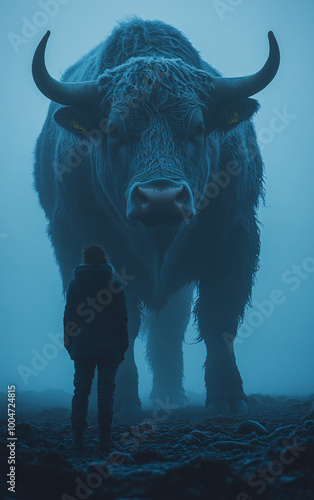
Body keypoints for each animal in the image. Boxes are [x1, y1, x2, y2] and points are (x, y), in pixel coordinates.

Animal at [33, 18, 280, 414]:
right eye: (114, 129)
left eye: (197, 128)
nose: (160, 199)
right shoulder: (85, 246)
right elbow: (119, 323)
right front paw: (121, 401)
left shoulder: (236, 241)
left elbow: (219, 318)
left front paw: (228, 399)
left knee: (170, 330)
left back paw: (171, 396)